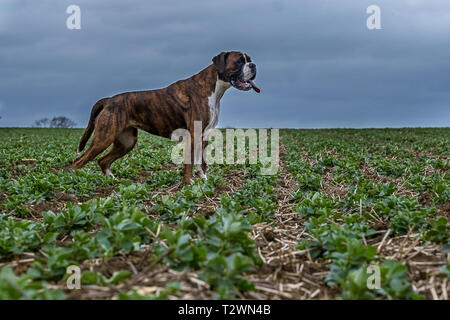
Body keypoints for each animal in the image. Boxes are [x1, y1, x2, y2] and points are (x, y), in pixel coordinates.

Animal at [71, 51, 260, 184]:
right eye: (239, 61)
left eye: (249, 59)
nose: (253, 65)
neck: (213, 87)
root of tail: (109, 100)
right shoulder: (193, 135)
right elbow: (190, 162)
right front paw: (188, 183)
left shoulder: (204, 135)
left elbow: (201, 161)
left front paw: (204, 180)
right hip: (103, 138)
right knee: (78, 162)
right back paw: (72, 184)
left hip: (126, 142)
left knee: (103, 161)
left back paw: (113, 181)